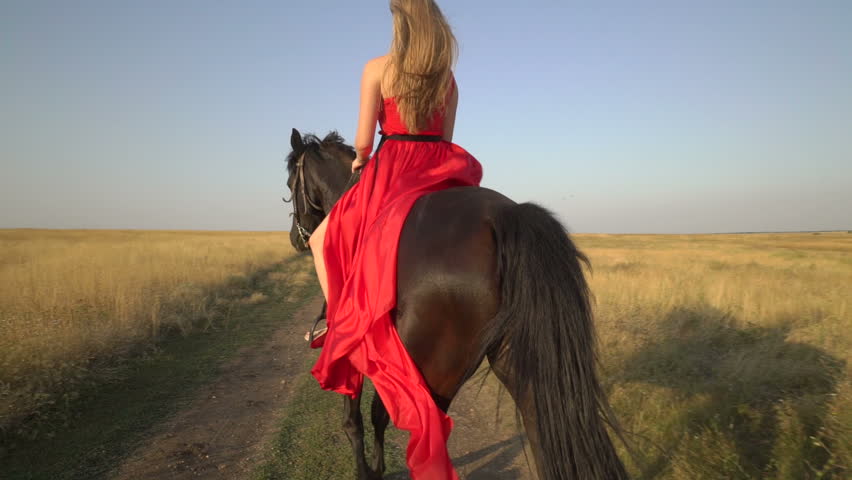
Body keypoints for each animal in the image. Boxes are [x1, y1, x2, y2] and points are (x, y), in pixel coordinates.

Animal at [284, 129, 624, 478]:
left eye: (289, 185)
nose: (296, 239)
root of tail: (505, 215)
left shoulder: (353, 345)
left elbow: (355, 418)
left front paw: (367, 470)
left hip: (436, 361)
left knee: (411, 423)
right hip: (512, 360)